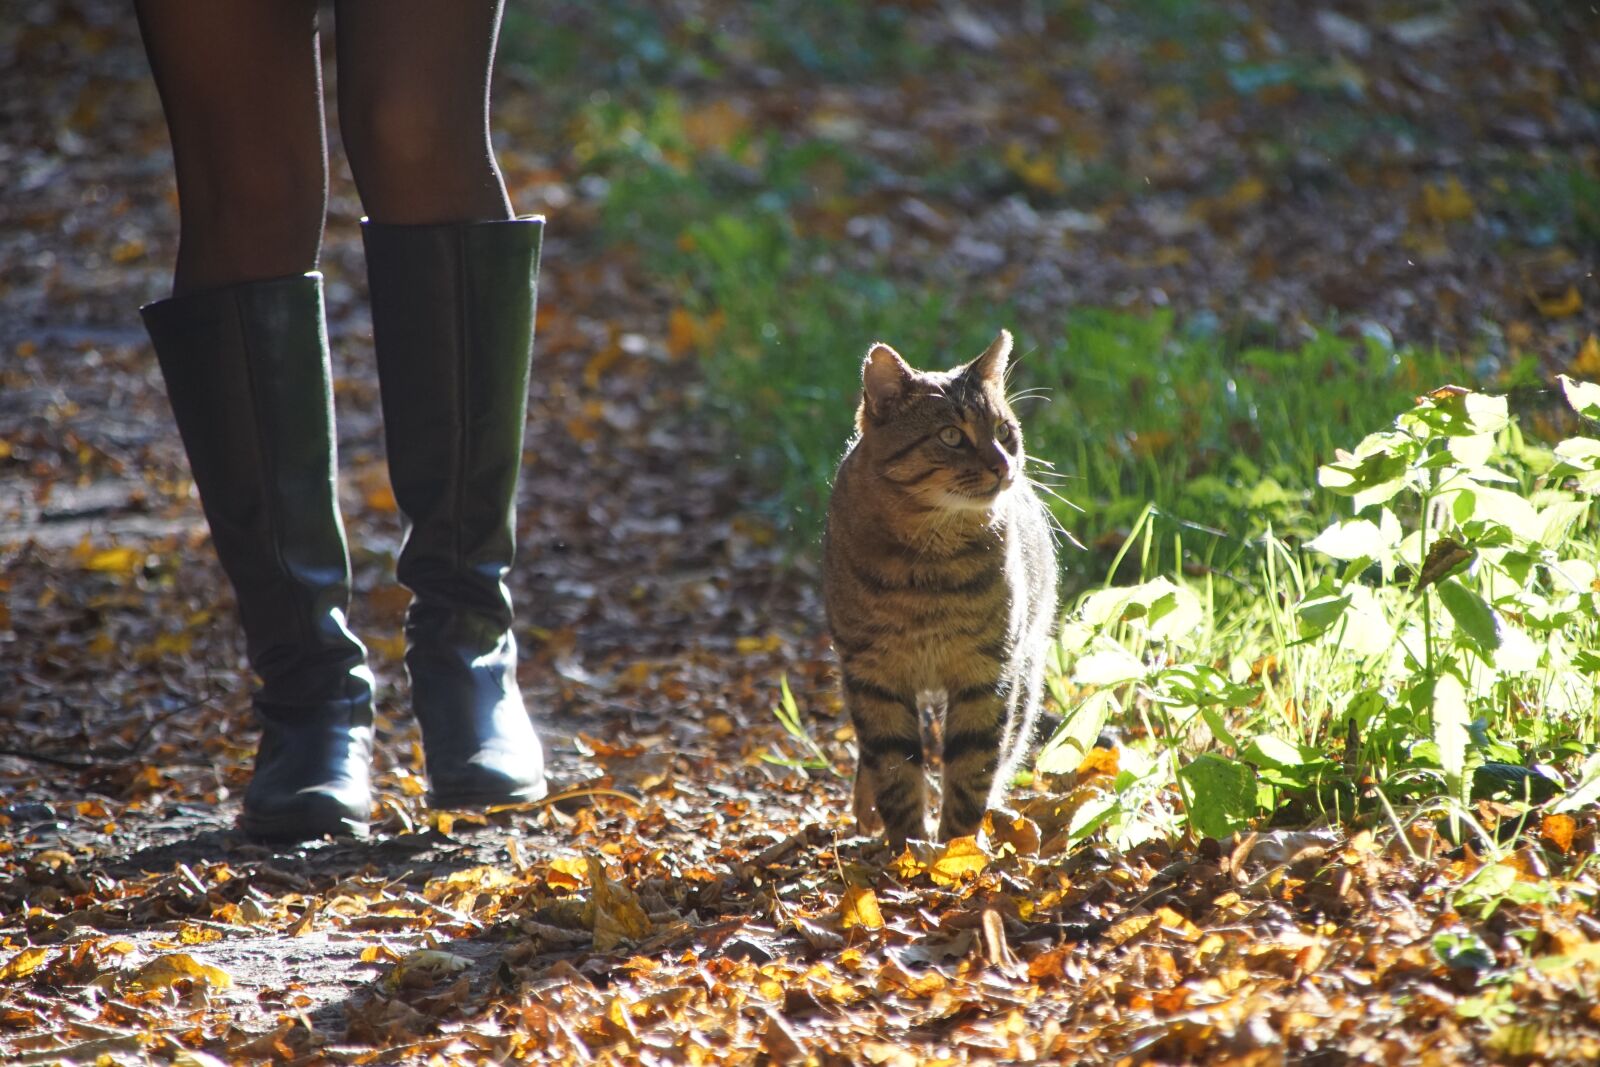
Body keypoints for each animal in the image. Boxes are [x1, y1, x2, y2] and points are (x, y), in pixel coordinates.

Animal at [825, 329, 1062, 844]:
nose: (1004, 465)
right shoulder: (873, 673)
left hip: (1026, 669)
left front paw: (956, 849)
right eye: (951, 436)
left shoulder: (987, 672)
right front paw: (908, 848)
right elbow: (894, 768)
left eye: (1003, 431)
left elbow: (972, 769)